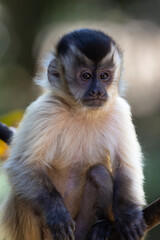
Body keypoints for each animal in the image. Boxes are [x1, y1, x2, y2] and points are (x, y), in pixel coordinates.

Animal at [0, 28, 146, 240]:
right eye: (85, 76)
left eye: (104, 76)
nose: (97, 91)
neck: (82, 112)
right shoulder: (45, 109)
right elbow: (22, 166)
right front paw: (57, 213)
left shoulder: (119, 111)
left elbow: (126, 168)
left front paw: (128, 216)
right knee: (23, 196)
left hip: (81, 228)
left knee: (99, 173)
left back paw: (104, 226)